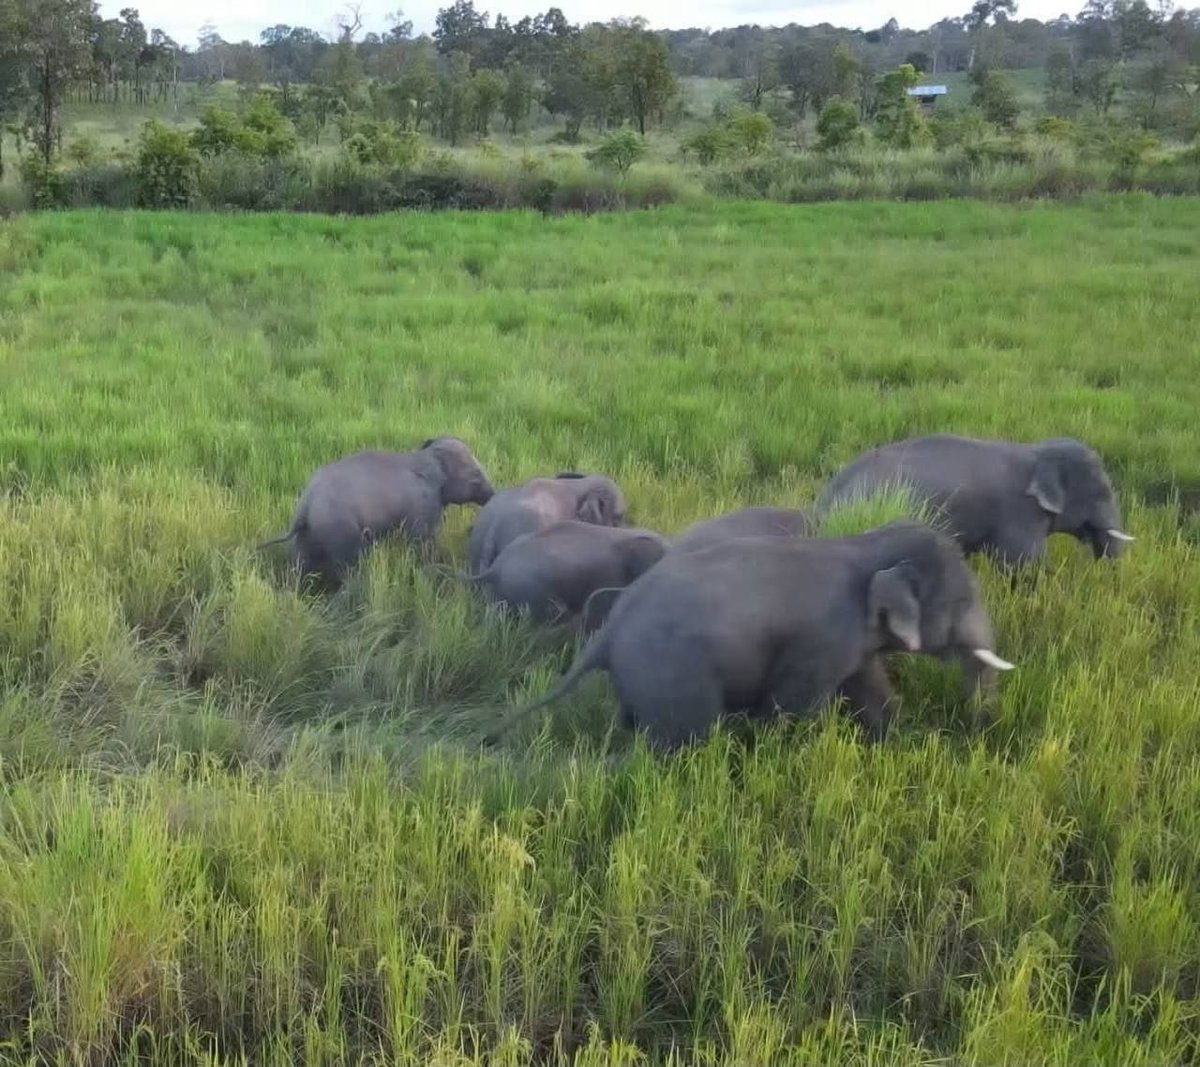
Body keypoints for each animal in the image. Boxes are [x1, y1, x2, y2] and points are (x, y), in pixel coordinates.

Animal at [260, 436, 494, 587]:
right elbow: (422, 542)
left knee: (303, 569)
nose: (492, 495)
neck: (426, 458)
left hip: (306, 540)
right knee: (349, 568)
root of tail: (304, 507)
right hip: (339, 531)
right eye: (476, 475)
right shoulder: (423, 507)